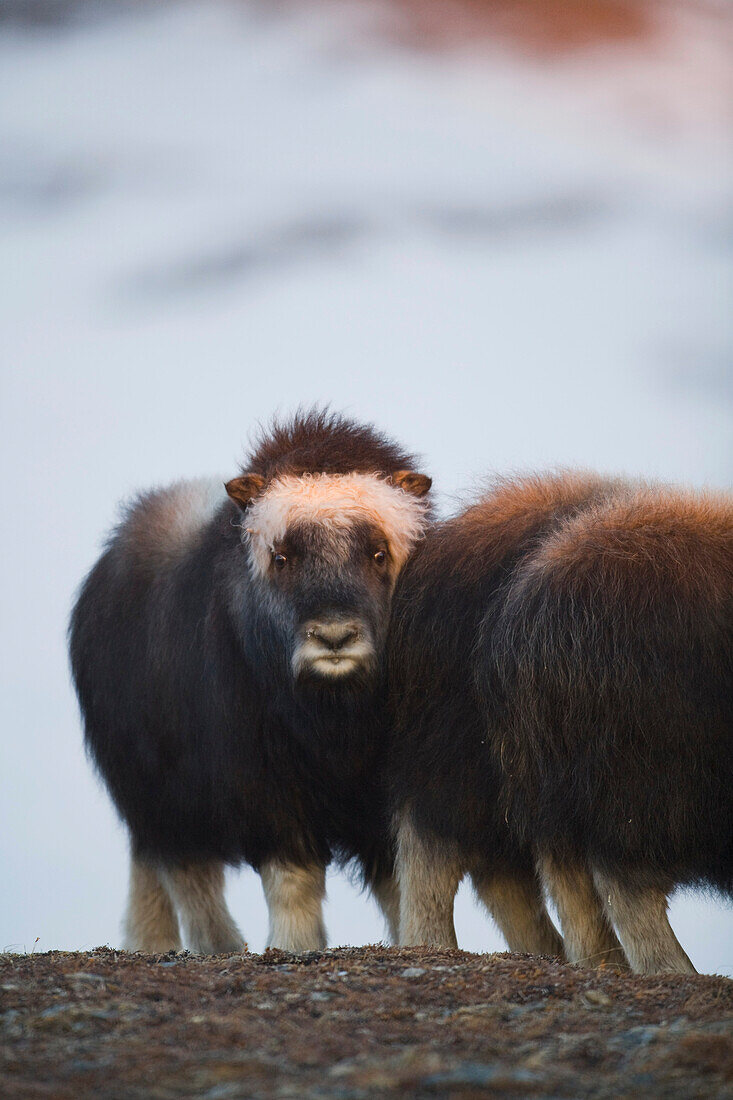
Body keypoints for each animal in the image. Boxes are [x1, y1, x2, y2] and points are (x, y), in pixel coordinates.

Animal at [68, 413, 429, 954]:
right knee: (185, 873)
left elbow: (395, 883)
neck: (332, 718)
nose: (335, 637)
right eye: (281, 557)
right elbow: (293, 880)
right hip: (162, 799)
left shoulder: (380, 794)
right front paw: (295, 947)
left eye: (379, 553)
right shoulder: (264, 788)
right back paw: (216, 947)